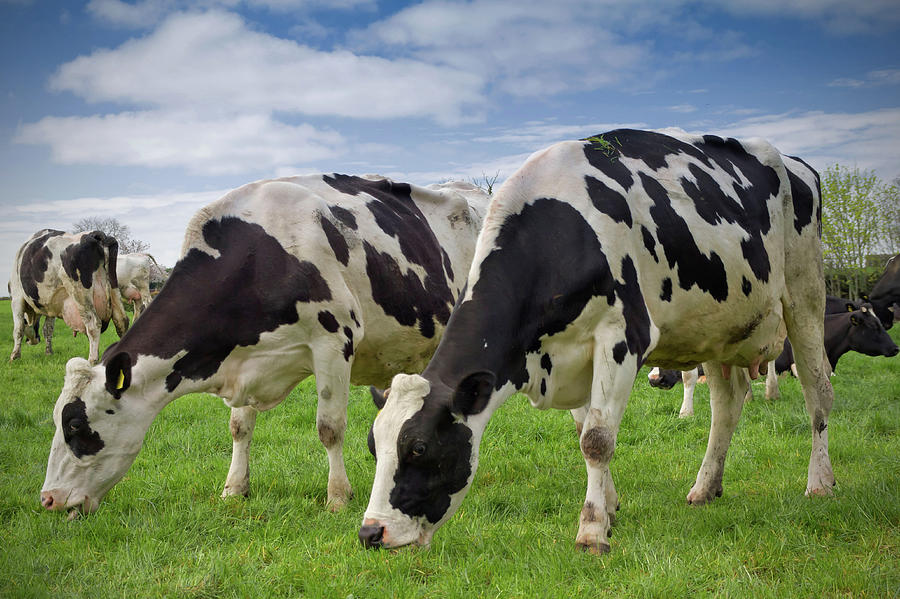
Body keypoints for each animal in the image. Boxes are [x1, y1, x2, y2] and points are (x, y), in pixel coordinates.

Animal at [9, 229, 129, 364]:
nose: (33, 341)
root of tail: (94, 234)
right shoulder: (50, 305)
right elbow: (48, 329)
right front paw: (49, 352)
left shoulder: (16, 297)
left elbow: (18, 328)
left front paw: (14, 356)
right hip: (114, 288)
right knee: (122, 321)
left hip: (79, 292)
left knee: (93, 324)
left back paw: (91, 360)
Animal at [40, 174, 488, 518]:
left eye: (75, 424)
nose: (48, 499)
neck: (260, 256)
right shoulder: (243, 362)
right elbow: (240, 427)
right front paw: (234, 489)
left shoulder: (334, 343)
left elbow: (329, 428)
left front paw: (338, 497)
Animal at [360, 129, 836, 555]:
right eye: (373, 445)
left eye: (419, 447)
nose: (370, 533)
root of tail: (795, 163)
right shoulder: (568, 356)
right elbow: (583, 430)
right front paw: (609, 508)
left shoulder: (621, 336)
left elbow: (596, 439)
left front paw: (591, 532)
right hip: (720, 329)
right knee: (727, 405)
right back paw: (706, 486)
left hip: (805, 293)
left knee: (818, 392)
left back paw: (820, 482)